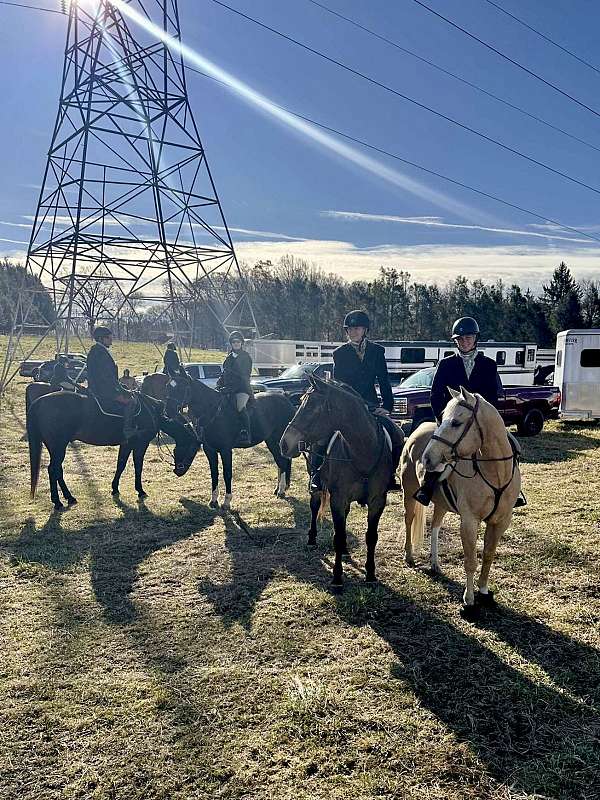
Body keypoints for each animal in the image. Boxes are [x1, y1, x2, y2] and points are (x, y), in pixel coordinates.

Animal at [27, 390, 200, 512]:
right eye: (193, 450)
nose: (179, 472)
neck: (150, 411)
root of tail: (38, 402)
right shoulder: (140, 444)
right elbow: (137, 466)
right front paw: (140, 490)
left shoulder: (126, 444)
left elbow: (120, 465)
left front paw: (115, 488)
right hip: (58, 446)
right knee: (53, 469)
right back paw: (57, 501)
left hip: (56, 447)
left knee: (58, 470)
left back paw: (69, 497)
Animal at [278, 374, 400, 588]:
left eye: (311, 407)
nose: (284, 443)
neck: (361, 452)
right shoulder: (337, 498)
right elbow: (338, 534)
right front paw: (337, 577)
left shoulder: (377, 501)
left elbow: (371, 536)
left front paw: (370, 574)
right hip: (316, 486)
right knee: (314, 507)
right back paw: (312, 539)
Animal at [400, 388, 524, 620]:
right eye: (442, 417)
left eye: (456, 422)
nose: (427, 458)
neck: (495, 474)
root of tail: (416, 432)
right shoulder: (469, 522)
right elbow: (471, 561)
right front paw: (469, 602)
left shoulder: (500, 522)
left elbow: (488, 555)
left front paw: (484, 592)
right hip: (409, 494)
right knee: (409, 521)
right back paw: (410, 556)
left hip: (441, 503)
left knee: (436, 527)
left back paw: (435, 564)